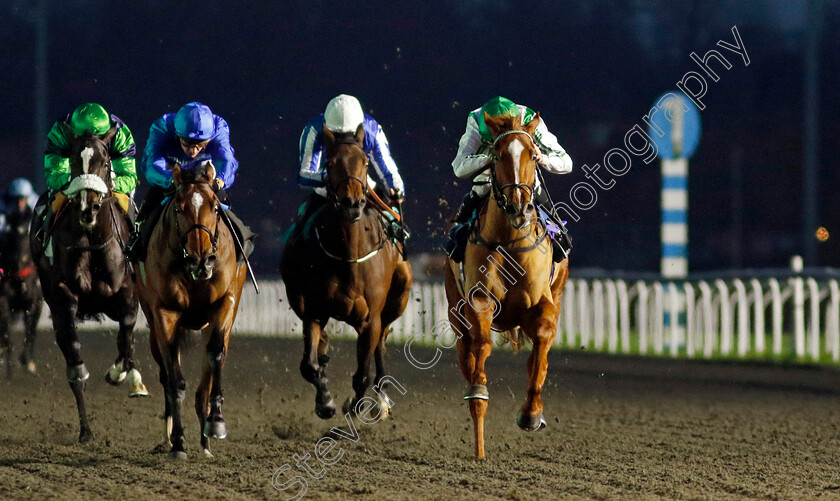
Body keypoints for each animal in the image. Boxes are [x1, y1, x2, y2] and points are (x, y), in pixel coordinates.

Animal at [0, 206, 44, 376]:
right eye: (11, 231)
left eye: (27, 231)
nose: (18, 259)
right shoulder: (4, 302)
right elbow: (6, 334)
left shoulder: (33, 303)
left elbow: (30, 331)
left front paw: (27, 360)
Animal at [28, 127, 148, 444]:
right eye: (72, 160)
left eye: (105, 161)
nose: (88, 207)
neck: (93, 243)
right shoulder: (62, 295)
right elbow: (74, 355)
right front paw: (86, 428)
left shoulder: (127, 296)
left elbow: (126, 340)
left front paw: (121, 375)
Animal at [136, 162, 248, 458]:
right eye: (178, 207)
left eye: (215, 207)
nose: (202, 260)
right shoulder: (164, 313)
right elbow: (175, 379)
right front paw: (177, 442)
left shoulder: (225, 304)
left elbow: (216, 354)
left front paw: (216, 421)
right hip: (153, 324)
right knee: (166, 373)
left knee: (207, 371)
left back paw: (206, 439)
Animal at [282, 124, 414, 418]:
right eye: (330, 163)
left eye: (364, 161)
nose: (352, 202)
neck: (349, 257)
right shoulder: (314, 311)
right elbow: (309, 365)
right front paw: (325, 401)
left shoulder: (371, 319)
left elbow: (363, 373)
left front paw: (356, 406)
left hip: (398, 297)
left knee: (381, 344)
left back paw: (382, 398)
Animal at [440, 112, 572, 458]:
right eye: (498, 156)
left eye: (533, 154)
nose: (519, 206)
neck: (510, 241)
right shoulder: (479, 299)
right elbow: (482, 348)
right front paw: (479, 391)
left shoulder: (542, 303)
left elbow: (541, 347)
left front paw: (531, 414)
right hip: (454, 310)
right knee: (468, 353)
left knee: (537, 355)